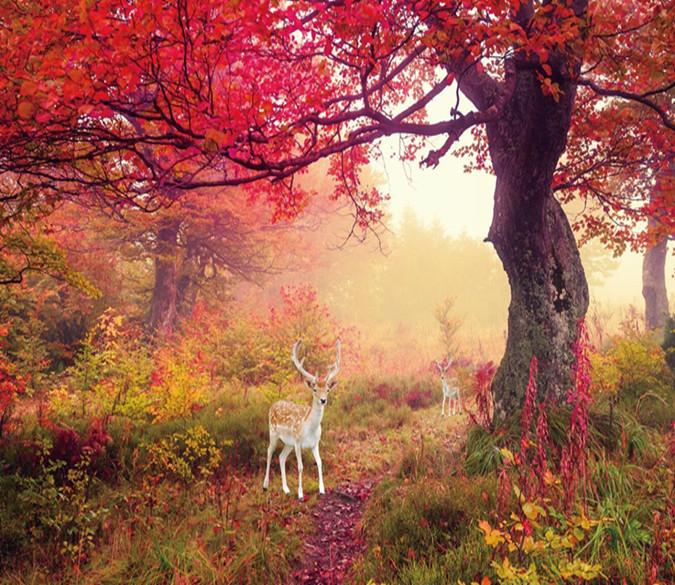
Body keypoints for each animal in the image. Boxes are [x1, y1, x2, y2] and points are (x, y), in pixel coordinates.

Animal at [263, 339, 341, 500]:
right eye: (315, 389)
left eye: (327, 389)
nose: (323, 400)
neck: (309, 429)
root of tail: (273, 404)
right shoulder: (298, 442)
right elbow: (300, 467)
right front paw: (300, 494)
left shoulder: (315, 443)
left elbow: (319, 463)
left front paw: (322, 489)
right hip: (273, 432)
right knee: (269, 452)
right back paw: (265, 485)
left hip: (288, 443)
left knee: (281, 457)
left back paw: (286, 489)